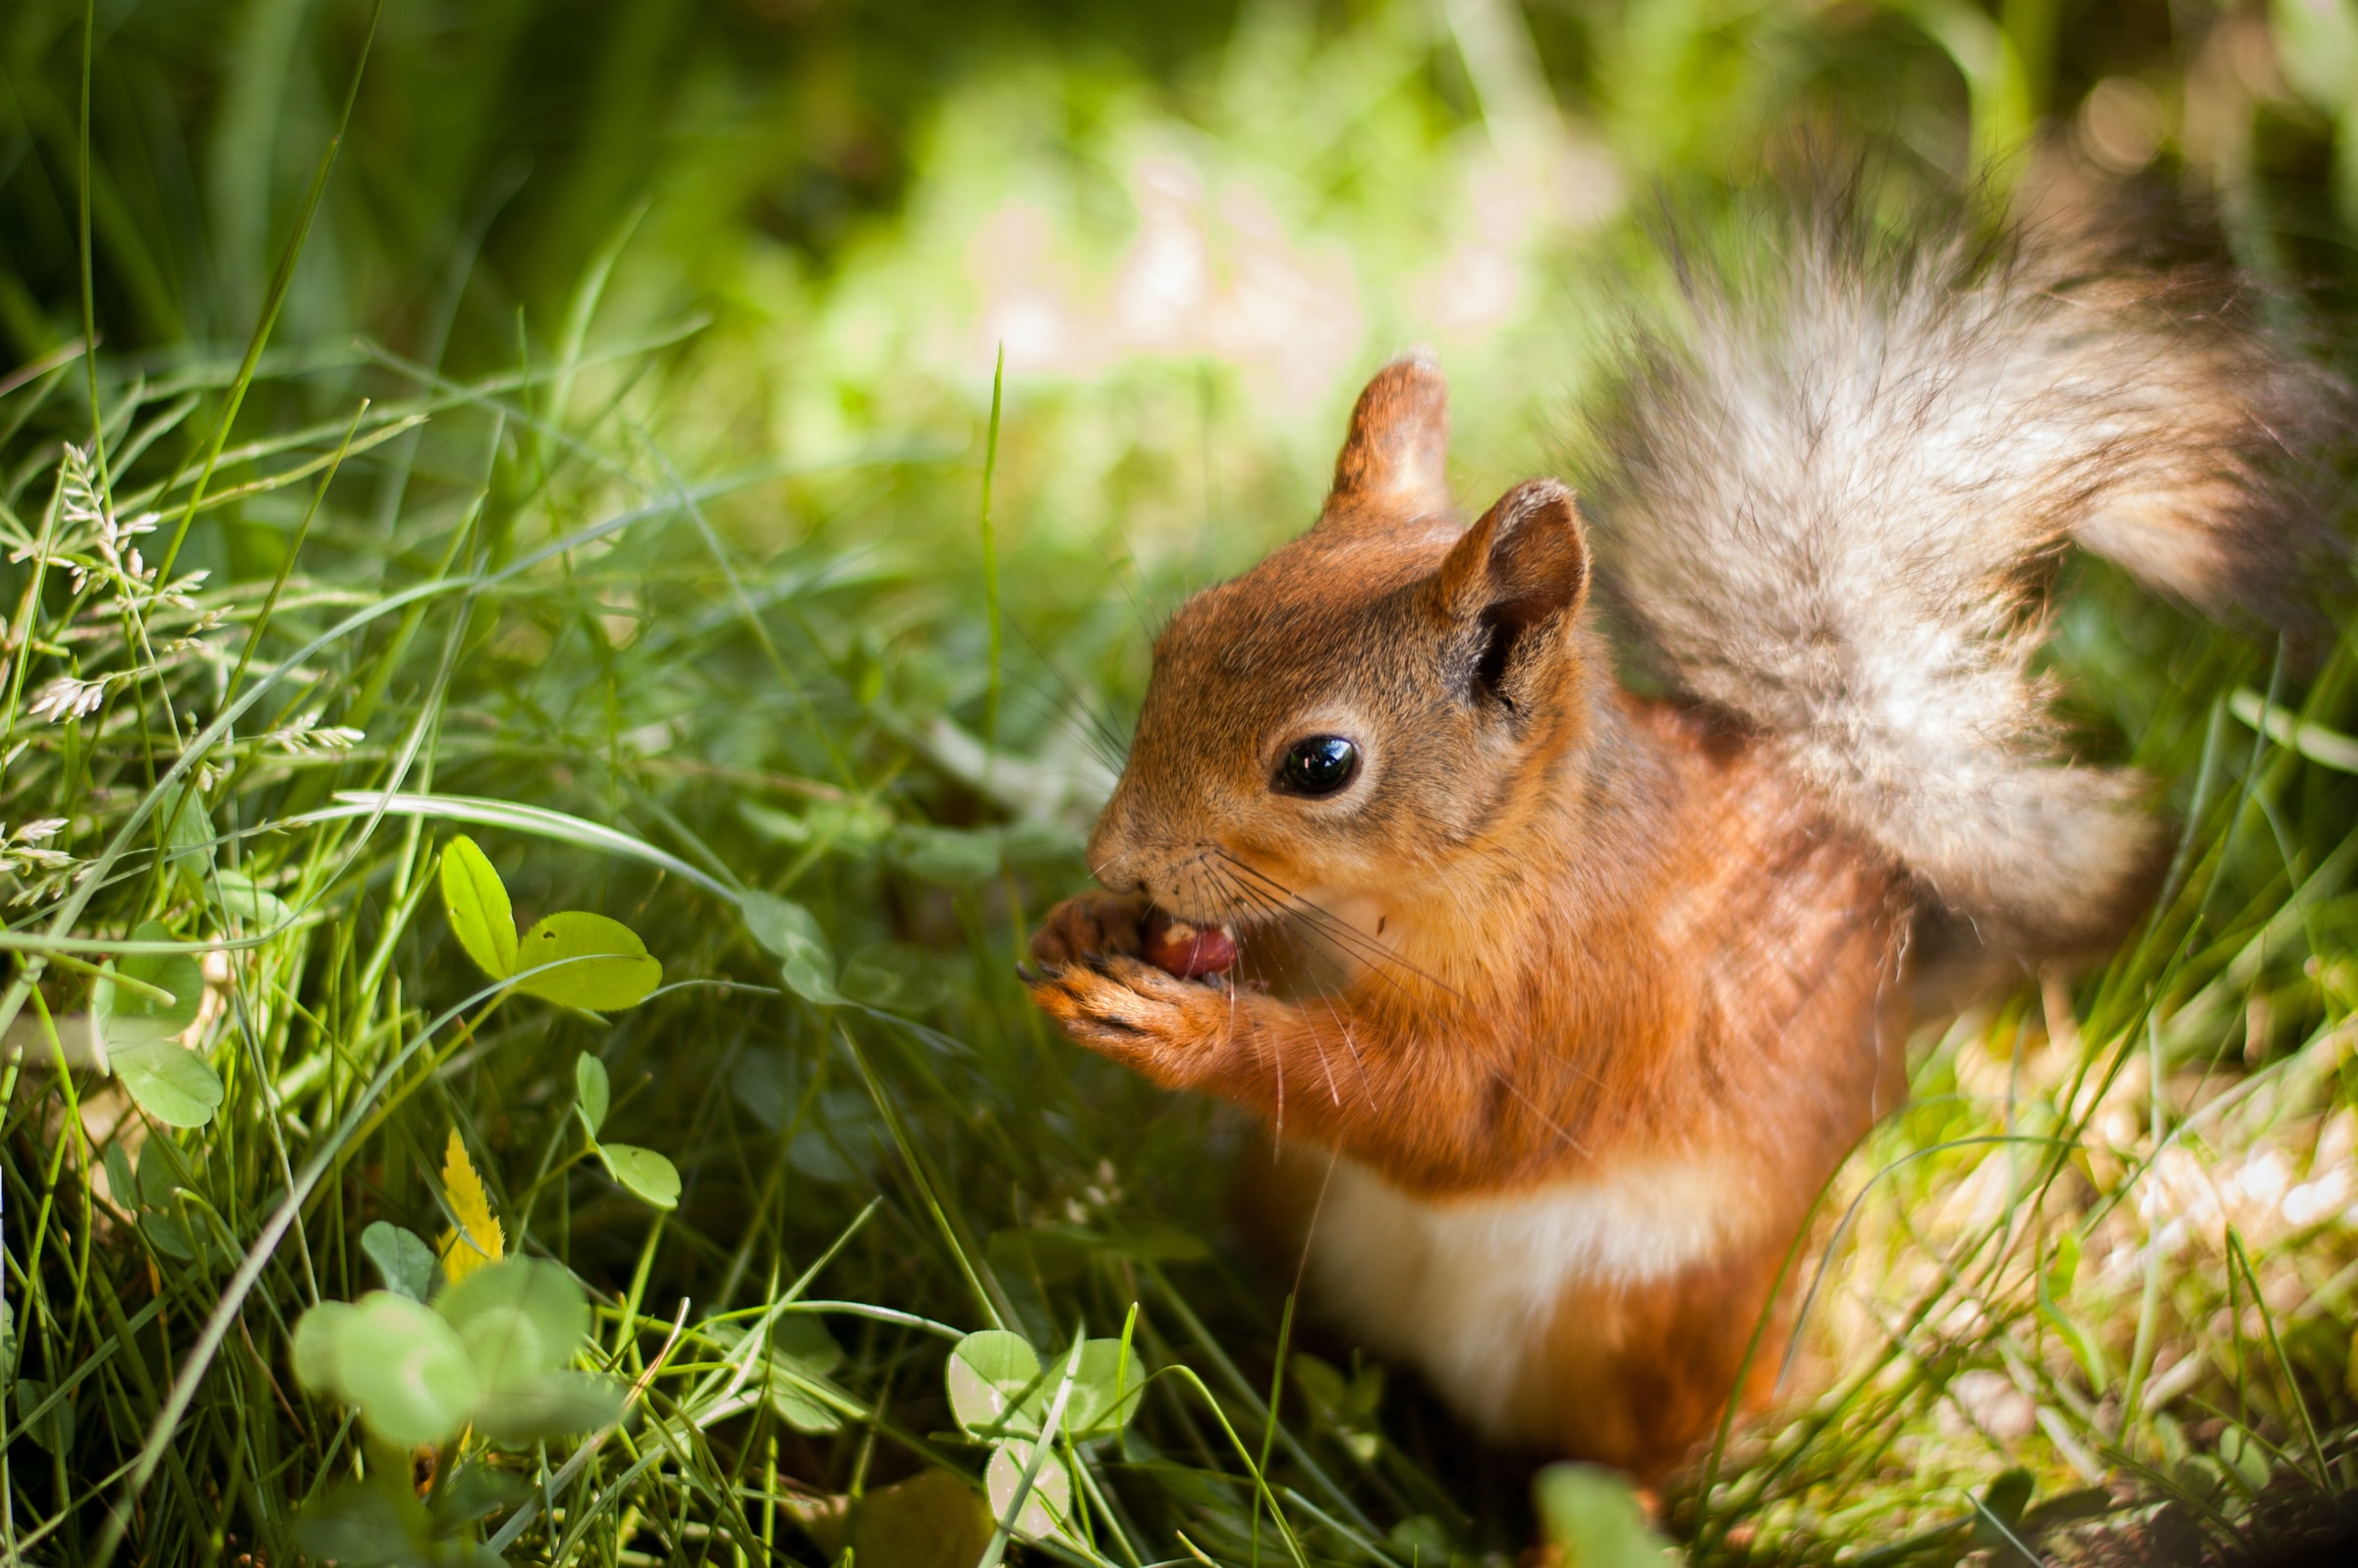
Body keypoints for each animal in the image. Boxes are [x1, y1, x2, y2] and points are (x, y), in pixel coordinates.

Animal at [1014, 196, 2338, 1471]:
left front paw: (1193, 1030)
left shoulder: (1590, 1000)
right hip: (1294, 1215)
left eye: (1321, 765)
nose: (1115, 857)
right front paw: (1090, 924)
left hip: (1655, 1329)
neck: (1443, 881)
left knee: (1641, 1468)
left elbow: (1445, 1117)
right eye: (1184, 631)